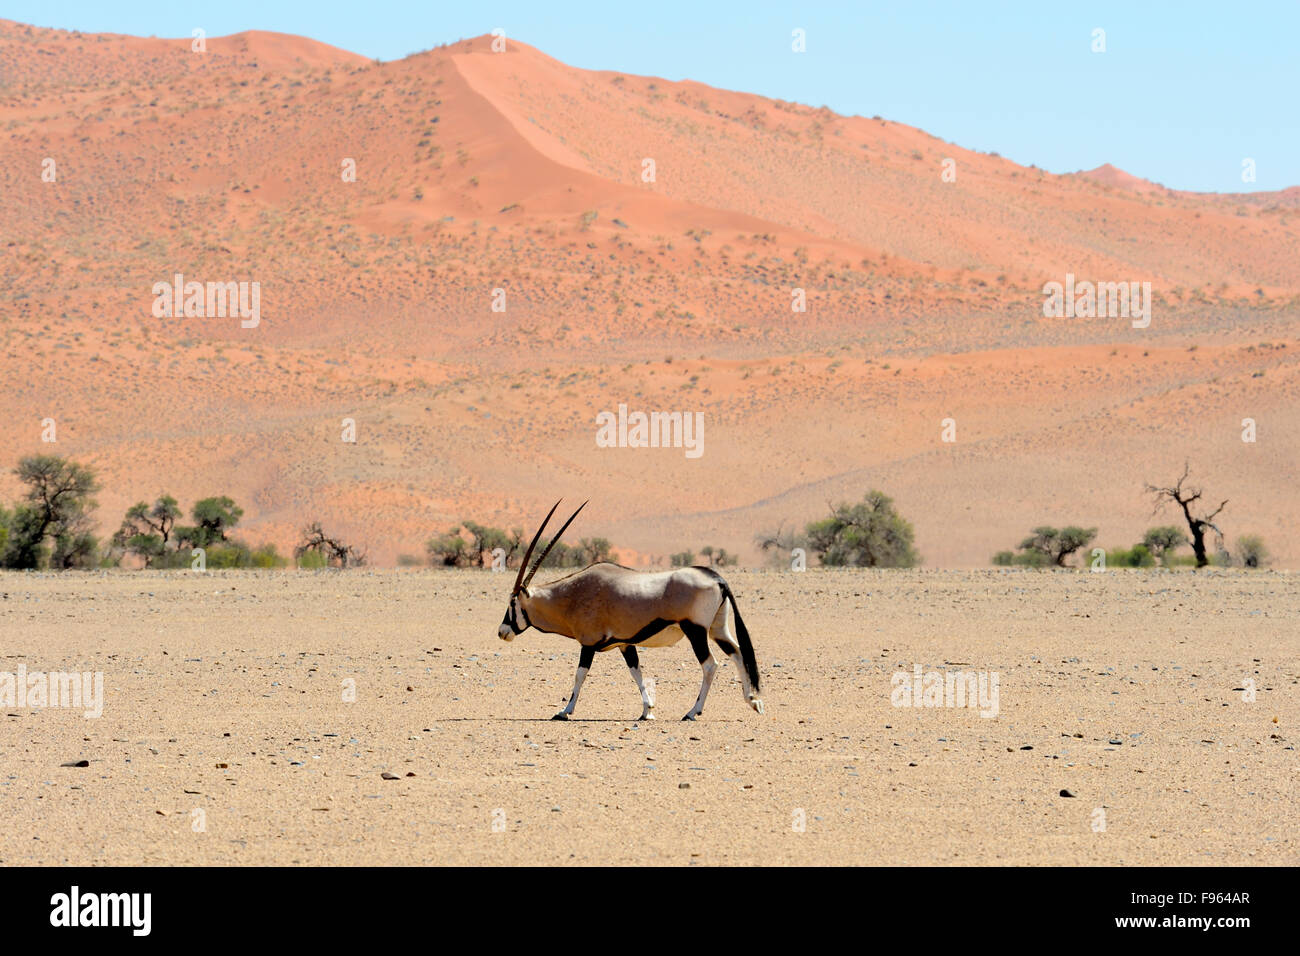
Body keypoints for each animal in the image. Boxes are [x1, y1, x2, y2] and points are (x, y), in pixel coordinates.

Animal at [493, 504, 759, 723]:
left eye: (512, 603)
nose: (502, 632)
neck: (572, 595)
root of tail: (717, 578)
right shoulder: (625, 644)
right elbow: (636, 673)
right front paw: (647, 711)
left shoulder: (588, 644)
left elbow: (580, 675)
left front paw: (564, 711)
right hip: (717, 629)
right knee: (737, 653)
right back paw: (753, 701)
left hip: (695, 630)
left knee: (711, 665)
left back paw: (693, 712)